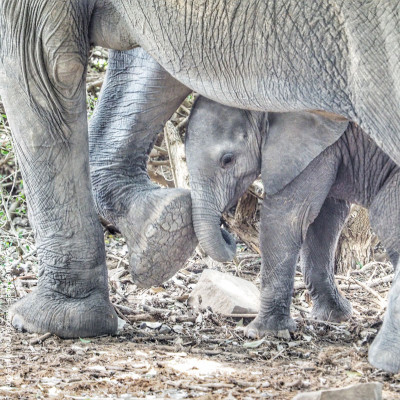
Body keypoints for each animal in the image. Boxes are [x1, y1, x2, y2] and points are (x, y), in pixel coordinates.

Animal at [186, 96, 400, 372]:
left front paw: (263, 333)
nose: (228, 233)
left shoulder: (315, 146)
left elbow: (287, 217)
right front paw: (334, 316)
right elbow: (325, 216)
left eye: (227, 159)